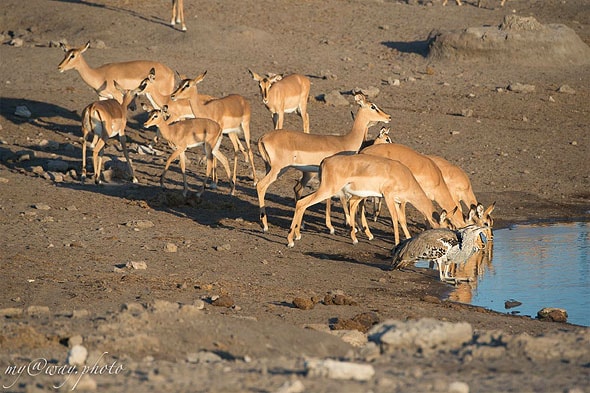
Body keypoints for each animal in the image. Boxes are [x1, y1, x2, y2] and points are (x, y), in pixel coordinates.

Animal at [256, 93, 390, 231]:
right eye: (372, 106)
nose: (388, 117)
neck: (345, 141)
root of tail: (263, 138)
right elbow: (337, 197)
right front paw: (335, 226)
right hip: (279, 169)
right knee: (261, 185)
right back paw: (265, 225)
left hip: (272, 168)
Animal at [286, 154, 444, 248]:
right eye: (444, 227)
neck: (405, 176)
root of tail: (326, 160)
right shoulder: (388, 197)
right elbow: (394, 219)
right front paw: (397, 243)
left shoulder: (398, 201)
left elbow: (402, 220)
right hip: (328, 190)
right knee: (302, 203)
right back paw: (291, 240)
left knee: (302, 201)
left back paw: (297, 235)